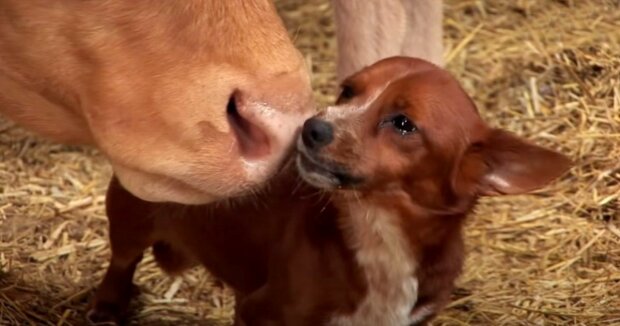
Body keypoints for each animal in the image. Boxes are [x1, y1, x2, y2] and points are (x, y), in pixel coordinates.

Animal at [88, 57, 572, 324]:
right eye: (347, 91)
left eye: (403, 124)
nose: (311, 127)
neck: (378, 233)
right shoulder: (260, 311)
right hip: (130, 218)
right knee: (121, 261)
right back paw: (108, 307)